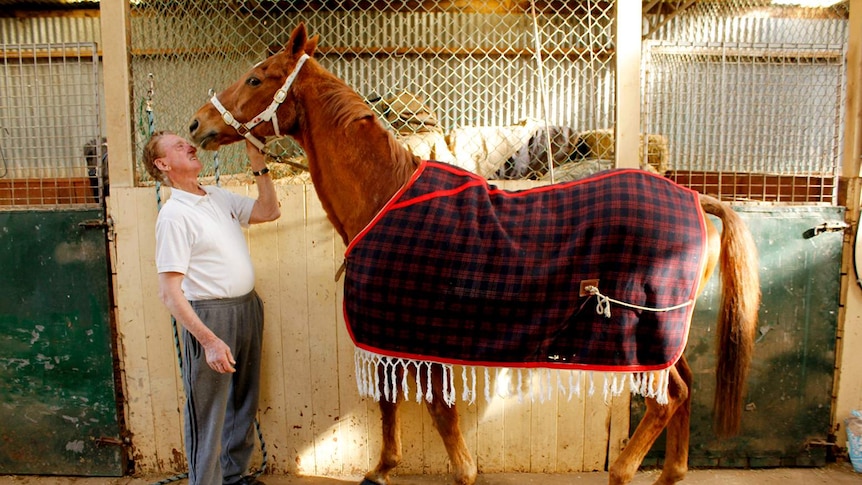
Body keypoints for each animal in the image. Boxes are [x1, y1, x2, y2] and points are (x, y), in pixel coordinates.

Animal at [191, 22, 764, 484]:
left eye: (257, 78)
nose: (197, 124)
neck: (385, 195)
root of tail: (694, 197)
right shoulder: (404, 333)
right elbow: (401, 403)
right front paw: (385, 469)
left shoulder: (410, 331)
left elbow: (427, 409)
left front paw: (446, 471)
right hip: (665, 335)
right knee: (685, 392)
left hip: (640, 334)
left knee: (669, 399)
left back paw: (622, 471)